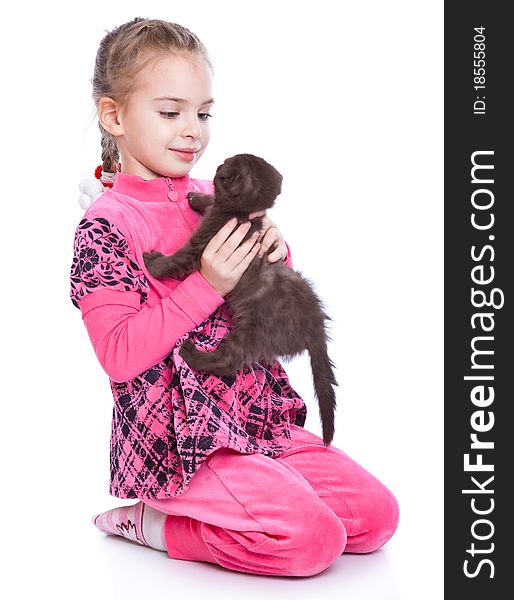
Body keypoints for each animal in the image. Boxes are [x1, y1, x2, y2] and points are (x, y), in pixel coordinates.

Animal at [143, 155, 336, 446]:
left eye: (225, 164)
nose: (218, 165)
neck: (240, 216)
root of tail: (316, 327)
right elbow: (213, 201)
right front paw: (196, 197)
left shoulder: (201, 244)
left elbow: (177, 259)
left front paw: (152, 263)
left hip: (252, 332)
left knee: (228, 361)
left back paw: (192, 354)